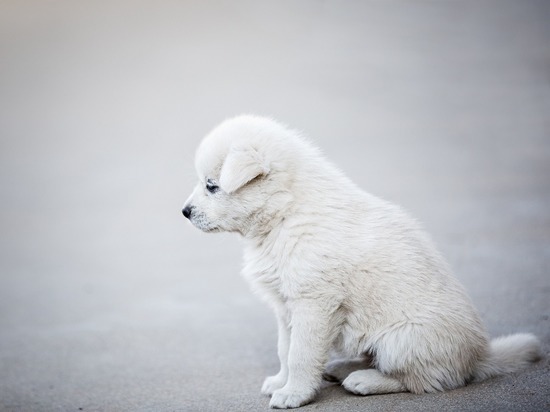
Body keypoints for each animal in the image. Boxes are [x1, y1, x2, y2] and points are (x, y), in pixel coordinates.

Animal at [182, 115, 544, 408]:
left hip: (402, 339)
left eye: (212, 186)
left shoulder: (313, 304)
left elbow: (301, 354)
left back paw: (365, 380)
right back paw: (342, 368)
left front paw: (294, 394)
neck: (286, 213)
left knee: (425, 380)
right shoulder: (286, 306)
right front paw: (280, 382)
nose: (184, 212)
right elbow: (285, 349)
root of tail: (479, 358)